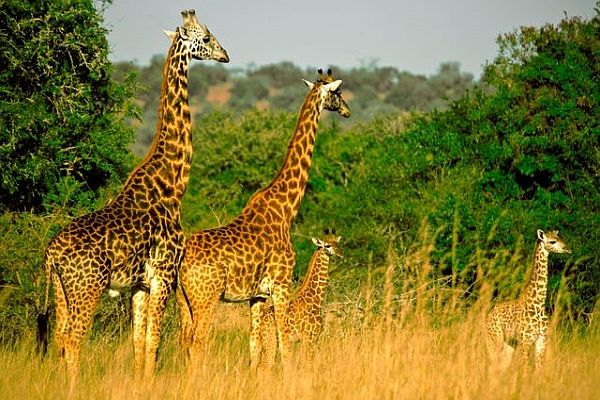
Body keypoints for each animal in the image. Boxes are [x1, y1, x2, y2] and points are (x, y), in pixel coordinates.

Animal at [37, 9, 229, 384]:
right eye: (206, 37)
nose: (225, 54)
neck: (172, 184)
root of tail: (52, 253)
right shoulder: (164, 275)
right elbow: (154, 339)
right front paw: (150, 383)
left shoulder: (140, 284)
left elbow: (138, 341)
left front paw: (141, 382)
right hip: (87, 288)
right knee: (74, 338)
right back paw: (74, 387)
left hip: (62, 291)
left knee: (60, 337)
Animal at [256, 230, 342, 368]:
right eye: (327, 245)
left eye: (338, 243)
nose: (340, 254)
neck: (316, 297)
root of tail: (261, 321)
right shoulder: (309, 337)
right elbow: (308, 363)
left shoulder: (310, 338)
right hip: (270, 339)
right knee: (264, 366)